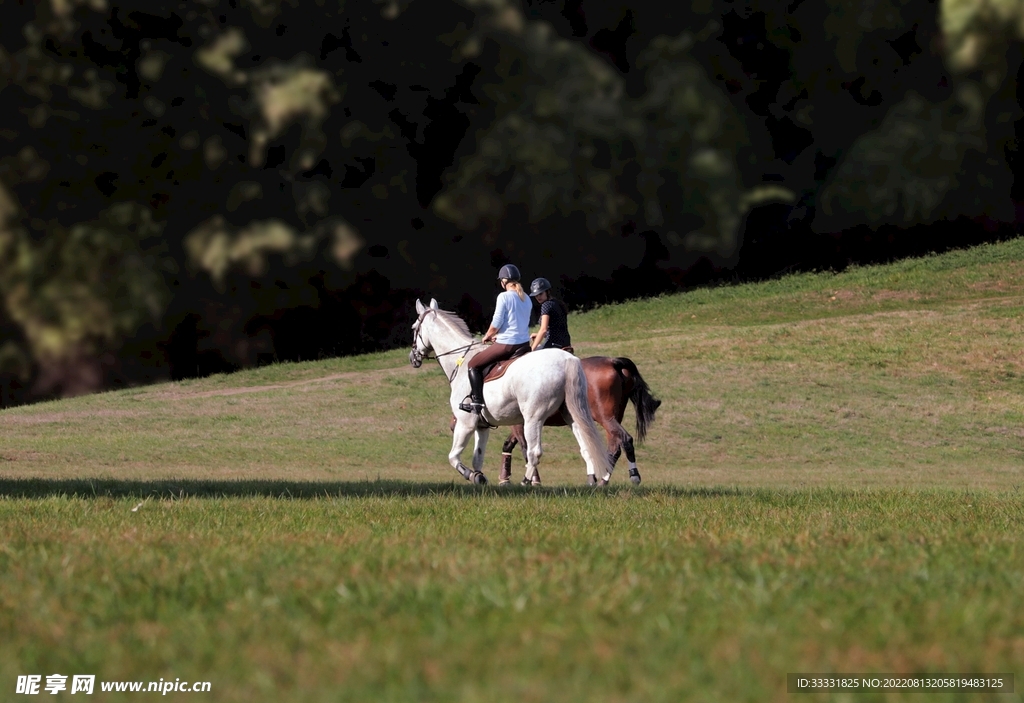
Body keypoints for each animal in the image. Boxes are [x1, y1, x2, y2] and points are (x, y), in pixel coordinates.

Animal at [410, 298, 612, 485]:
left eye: (413, 328)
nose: (413, 358)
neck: (460, 361)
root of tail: (567, 359)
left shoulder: (465, 423)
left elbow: (453, 457)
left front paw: (471, 475)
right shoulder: (482, 426)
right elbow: (478, 458)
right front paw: (479, 477)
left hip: (533, 418)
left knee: (534, 451)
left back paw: (526, 482)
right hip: (571, 415)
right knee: (586, 445)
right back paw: (592, 480)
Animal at [497, 356, 661, 487]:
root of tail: (612, 361)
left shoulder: (521, 424)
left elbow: (525, 449)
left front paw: (532, 480)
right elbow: (508, 445)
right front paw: (505, 478)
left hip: (606, 418)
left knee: (625, 440)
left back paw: (630, 475)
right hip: (613, 418)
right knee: (615, 447)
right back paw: (603, 480)